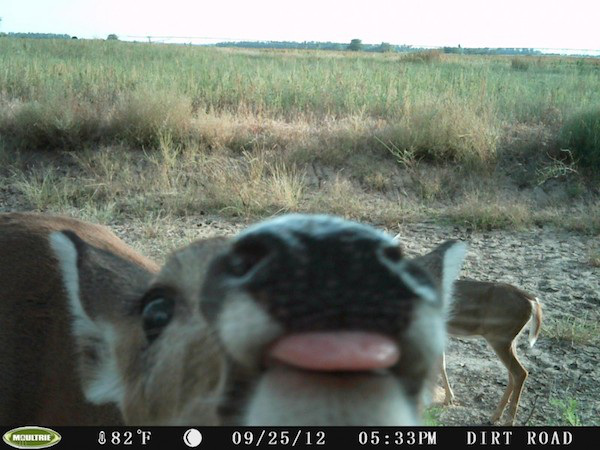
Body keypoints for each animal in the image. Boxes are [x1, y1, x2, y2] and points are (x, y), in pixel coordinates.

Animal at [440, 280, 544, 428]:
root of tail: (532, 301)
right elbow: (441, 363)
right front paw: (449, 398)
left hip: (499, 338)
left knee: (520, 373)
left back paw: (507, 421)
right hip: (510, 340)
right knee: (513, 374)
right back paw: (495, 417)